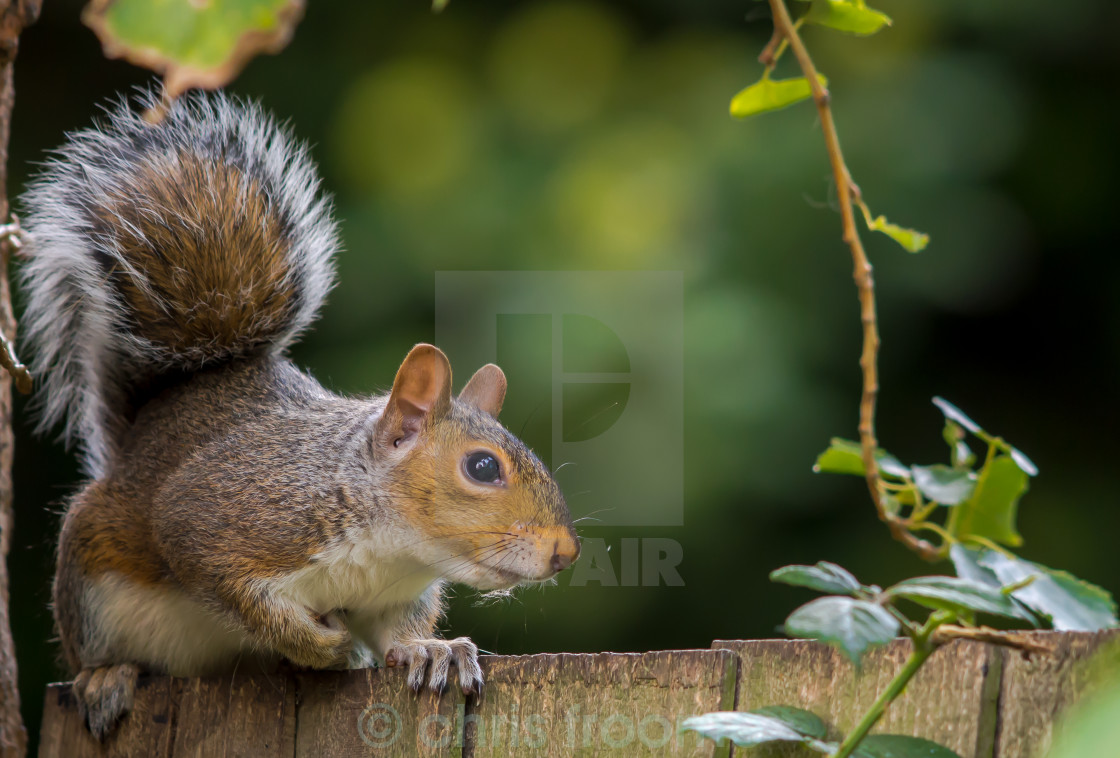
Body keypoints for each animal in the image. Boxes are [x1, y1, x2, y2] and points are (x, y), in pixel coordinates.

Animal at [17, 90, 582, 738]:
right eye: (483, 468)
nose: (566, 553)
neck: (390, 546)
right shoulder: (219, 523)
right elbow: (242, 598)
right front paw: (321, 646)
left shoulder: (393, 593)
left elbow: (395, 633)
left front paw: (429, 649)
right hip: (91, 585)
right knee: (93, 648)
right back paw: (106, 677)